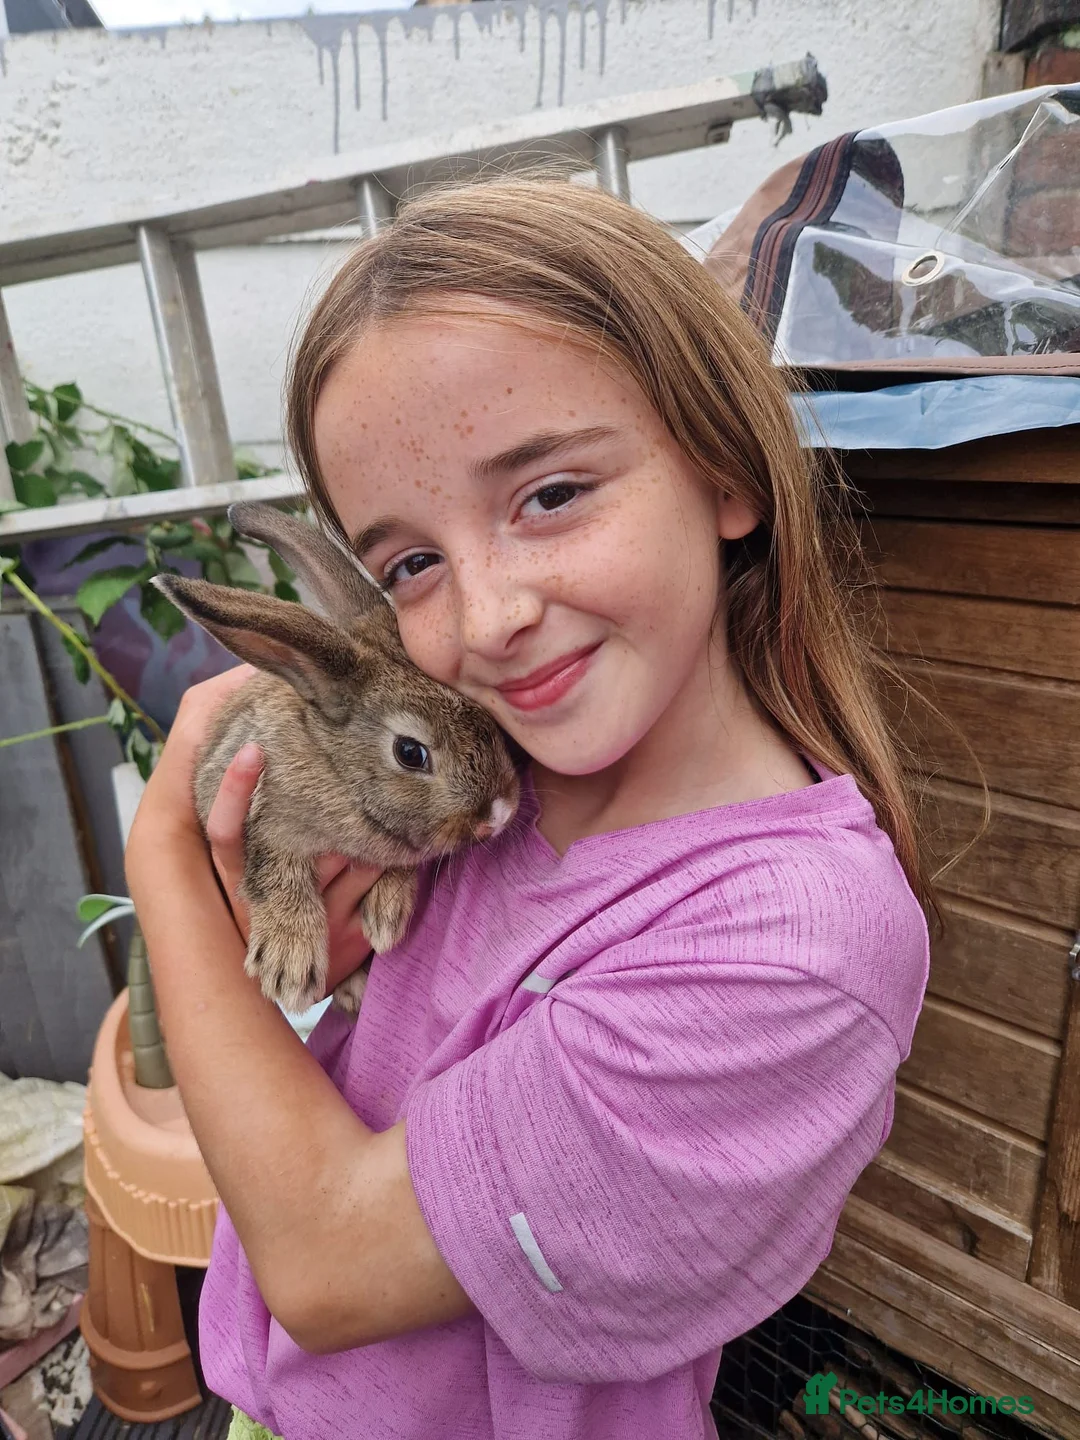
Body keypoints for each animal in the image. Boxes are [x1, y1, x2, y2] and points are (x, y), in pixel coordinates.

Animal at [151, 500, 520, 1019]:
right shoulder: (250, 806)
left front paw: (386, 914)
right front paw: (287, 963)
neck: (338, 769)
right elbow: (273, 867)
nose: (500, 813)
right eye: (410, 753)